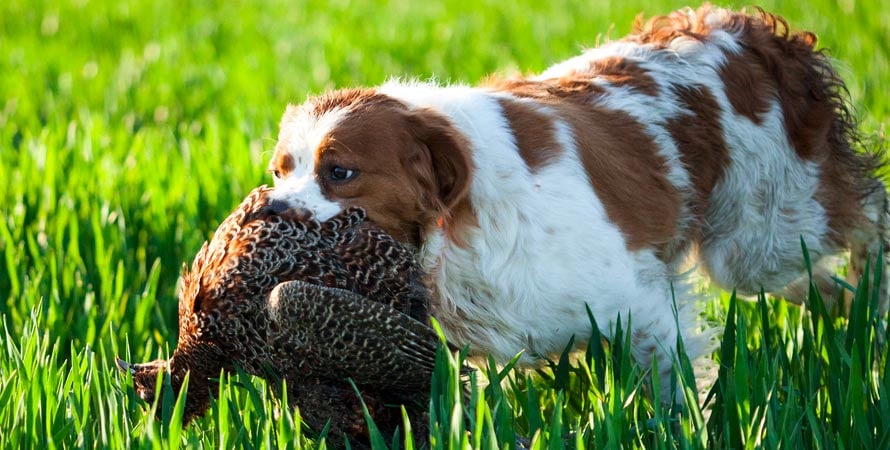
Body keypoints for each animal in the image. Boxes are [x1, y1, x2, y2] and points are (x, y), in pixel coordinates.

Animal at [268, 3, 884, 390]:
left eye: (339, 171)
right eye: (279, 171)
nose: (271, 211)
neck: (458, 225)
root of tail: (750, 29)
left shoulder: (640, 310)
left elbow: (674, 397)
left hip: (763, 236)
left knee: (870, 214)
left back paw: (876, 299)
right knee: (822, 282)